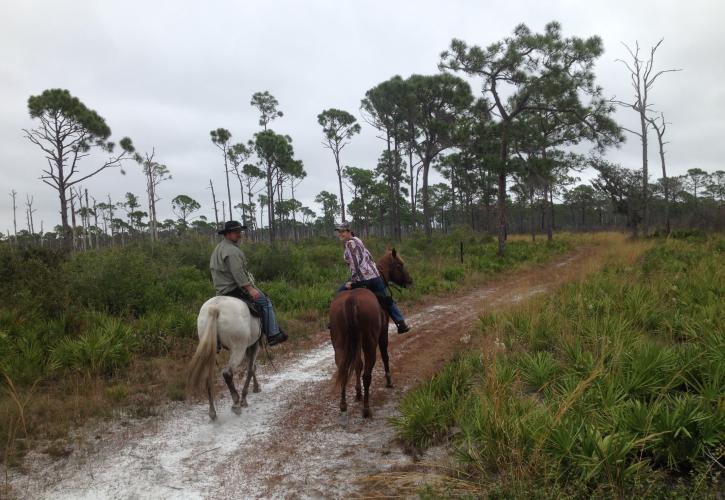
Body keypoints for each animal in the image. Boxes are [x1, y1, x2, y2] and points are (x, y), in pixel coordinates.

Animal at [330, 248, 410, 424]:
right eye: (399, 265)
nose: (410, 280)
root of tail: (352, 300)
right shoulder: (383, 334)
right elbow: (385, 356)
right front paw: (389, 381)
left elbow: (357, 364)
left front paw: (357, 392)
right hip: (370, 343)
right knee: (367, 375)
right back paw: (366, 409)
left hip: (340, 344)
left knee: (343, 370)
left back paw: (343, 406)